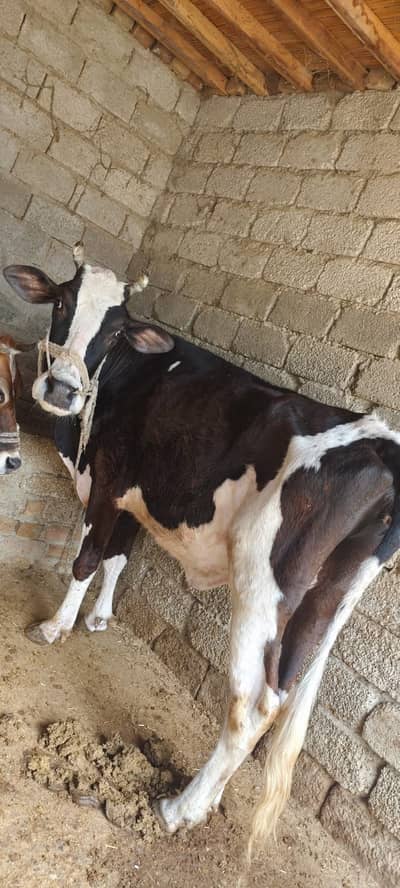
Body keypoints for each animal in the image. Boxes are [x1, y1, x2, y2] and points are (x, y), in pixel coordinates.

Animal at [4, 245, 400, 849]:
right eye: (63, 303)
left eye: (115, 331)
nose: (61, 389)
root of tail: (380, 440)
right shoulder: (140, 492)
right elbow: (118, 556)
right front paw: (99, 618)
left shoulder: (109, 478)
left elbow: (87, 556)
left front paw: (55, 627)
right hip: (327, 598)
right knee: (281, 693)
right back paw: (205, 800)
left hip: (264, 584)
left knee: (252, 705)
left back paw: (178, 809)